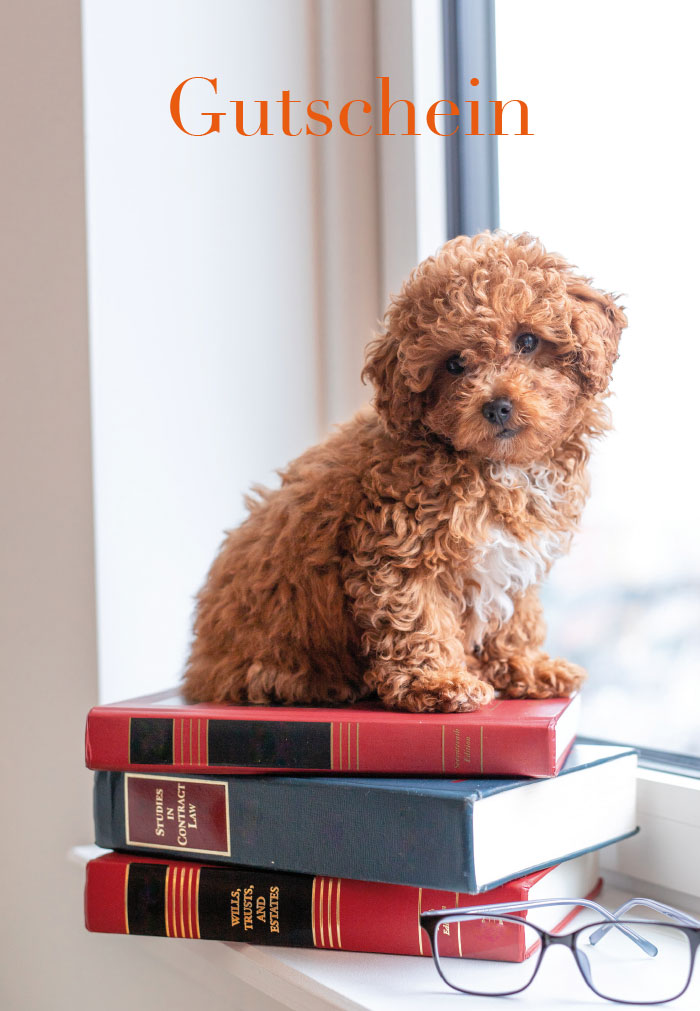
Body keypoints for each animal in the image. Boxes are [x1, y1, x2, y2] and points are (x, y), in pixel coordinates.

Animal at [183, 232, 627, 715]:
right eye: (454, 364)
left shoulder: (515, 557)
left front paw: (525, 666)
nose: (497, 406)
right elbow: (418, 616)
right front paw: (439, 681)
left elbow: (516, 618)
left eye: (528, 341)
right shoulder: (397, 547)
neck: (496, 467)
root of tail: (199, 672)